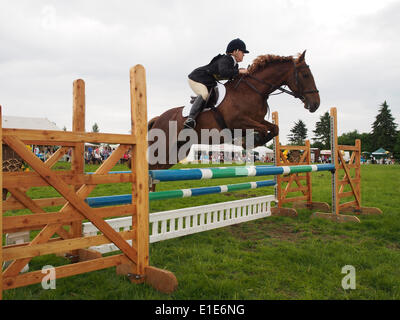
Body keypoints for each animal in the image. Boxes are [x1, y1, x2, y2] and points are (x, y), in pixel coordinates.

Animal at [147, 49, 318, 170]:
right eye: (305, 75)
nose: (316, 104)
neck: (253, 90)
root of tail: (158, 118)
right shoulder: (238, 122)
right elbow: (263, 129)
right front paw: (251, 142)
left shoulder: (257, 119)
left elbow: (274, 128)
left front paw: (253, 141)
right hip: (162, 147)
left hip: (176, 152)